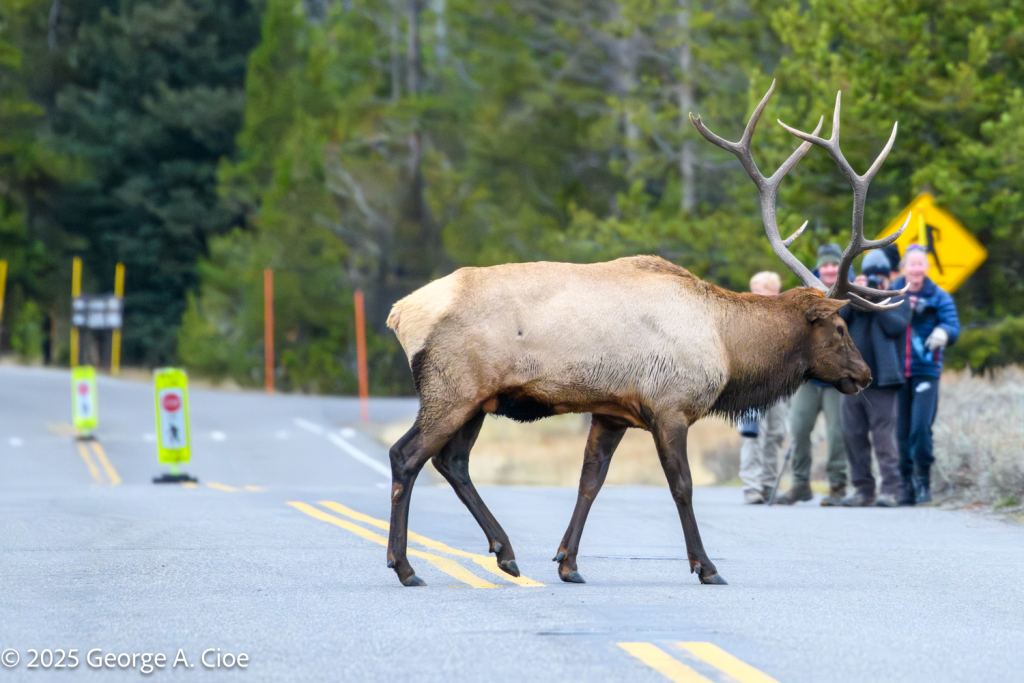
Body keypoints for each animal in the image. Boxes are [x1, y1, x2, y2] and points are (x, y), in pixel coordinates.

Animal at [383, 81, 910, 588]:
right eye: (840, 327)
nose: (864, 375)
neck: (727, 346)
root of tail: (399, 313)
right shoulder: (670, 406)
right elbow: (683, 486)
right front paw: (706, 566)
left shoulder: (612, 411)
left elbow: (590, 482)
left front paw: (568, 562)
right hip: (452, 389)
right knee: (406, 455)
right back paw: (406, 566)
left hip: (477, 399)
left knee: (452, 462)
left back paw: (504, 553)